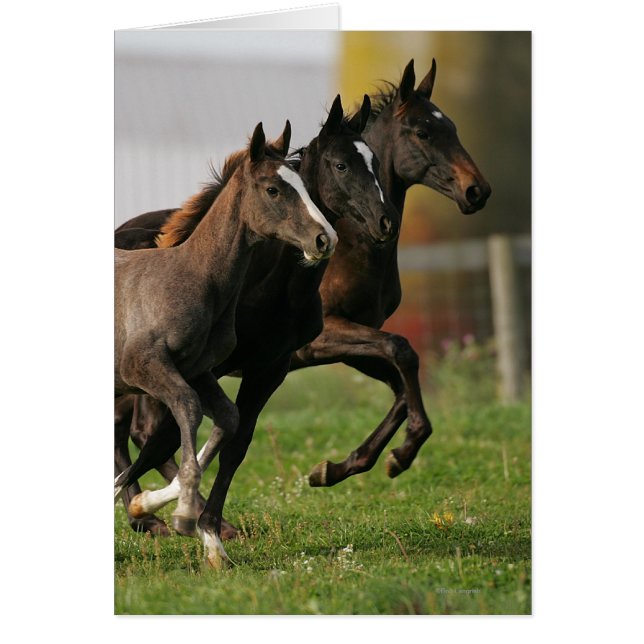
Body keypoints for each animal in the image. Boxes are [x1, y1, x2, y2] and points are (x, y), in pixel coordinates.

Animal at [114, 95, 400, 552]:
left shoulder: (271, 368)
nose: (385, 222)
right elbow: (170, 437)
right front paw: (190, 517)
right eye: (341, 165)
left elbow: (236, 441)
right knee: (138, 433)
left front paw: (207, 524)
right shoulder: (204, 369)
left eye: (374, 159)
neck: (271, 287)